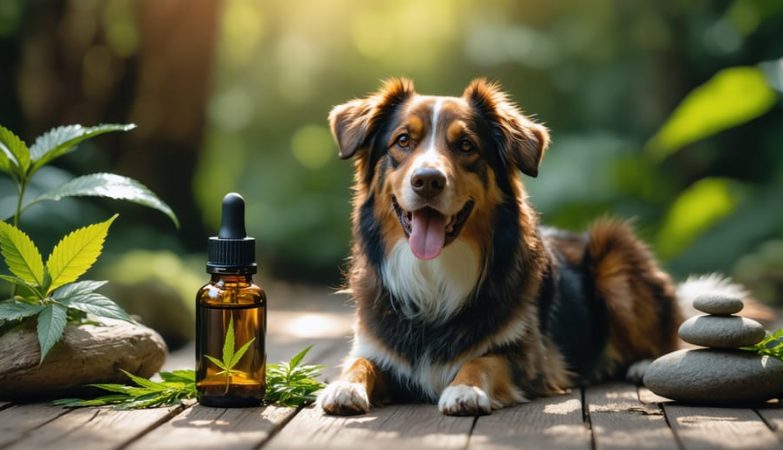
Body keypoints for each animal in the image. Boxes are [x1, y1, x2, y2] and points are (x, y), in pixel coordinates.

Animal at [320, 79, 748, 416]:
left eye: (466, 146)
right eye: (403, 141)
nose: (428, 180)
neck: (434, 275)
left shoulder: (529, 358)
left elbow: (484, 360)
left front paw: (464, 389)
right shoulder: (376, 347)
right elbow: (360, 363)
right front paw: (344, 386)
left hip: (615, 256)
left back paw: (642, 364)